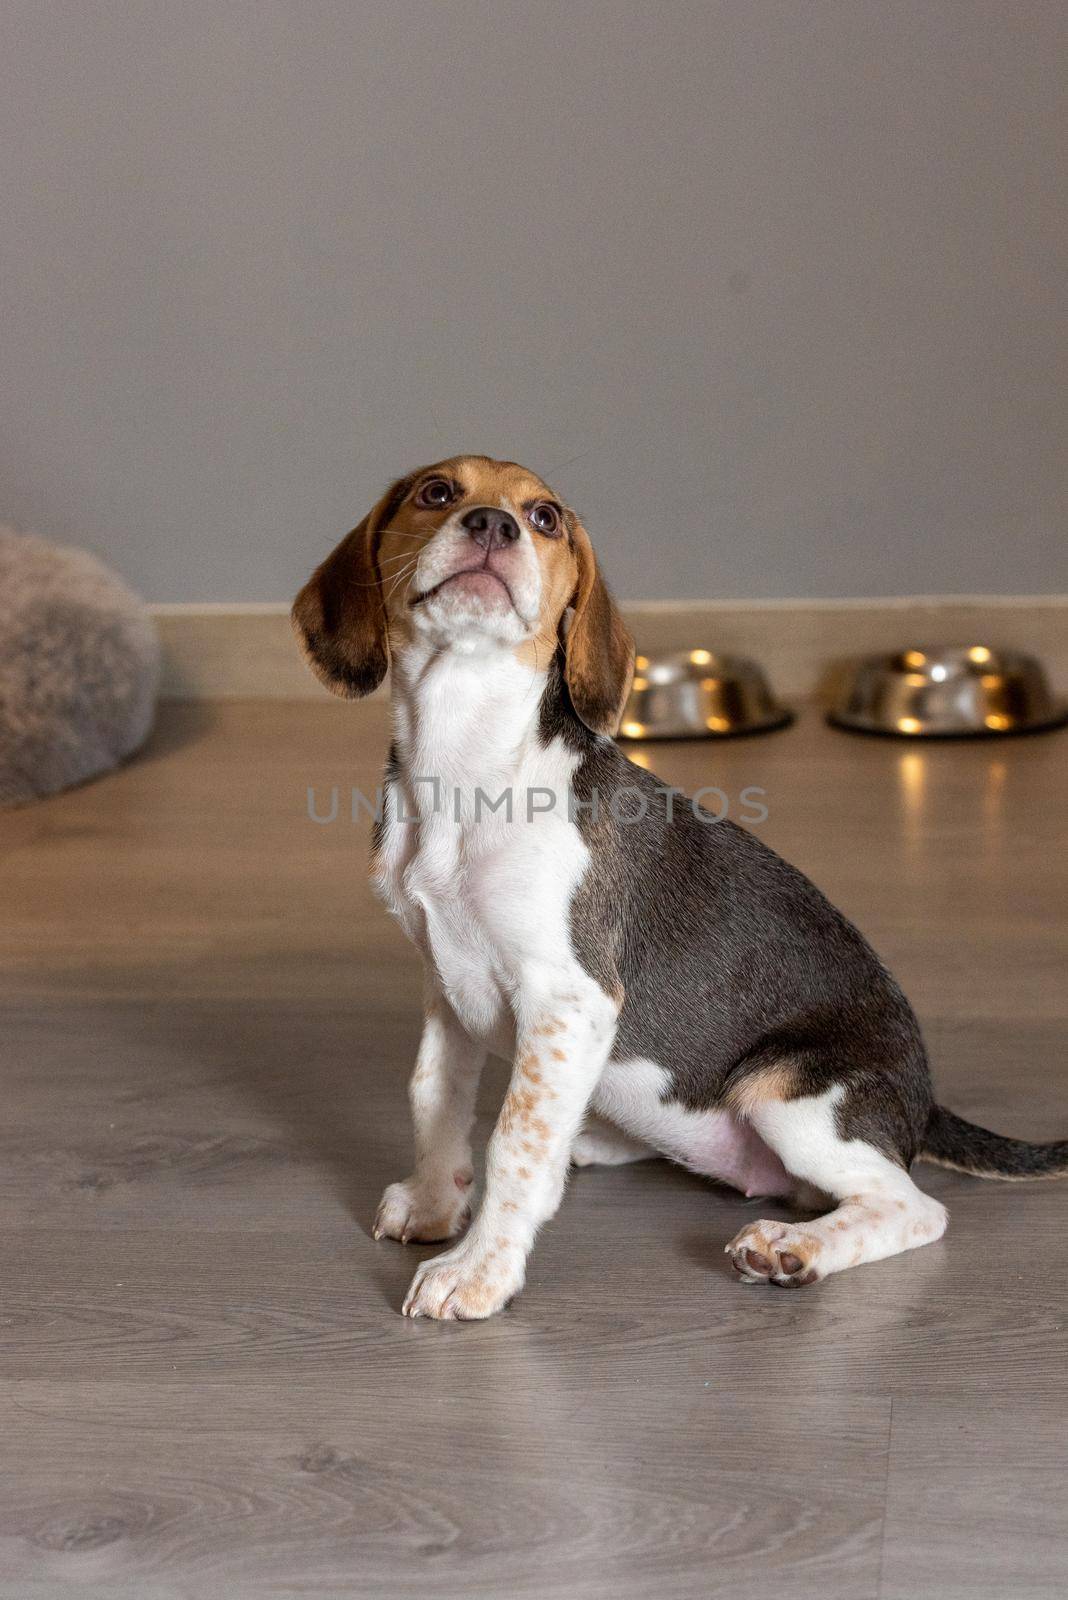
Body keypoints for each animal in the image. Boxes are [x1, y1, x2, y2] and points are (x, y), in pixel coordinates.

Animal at [292, 457, 1068, 1318]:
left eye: (544, 517)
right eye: (436, 492)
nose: (494, 524)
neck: (467, 759)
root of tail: (921, 1103)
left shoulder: (570, 998)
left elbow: (514, 1144)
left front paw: (477, 1270)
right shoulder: (444, 983)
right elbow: (434, 1097)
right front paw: (435, 1204)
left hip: (786, 1092)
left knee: (914, 1207)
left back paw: (795, 1246)